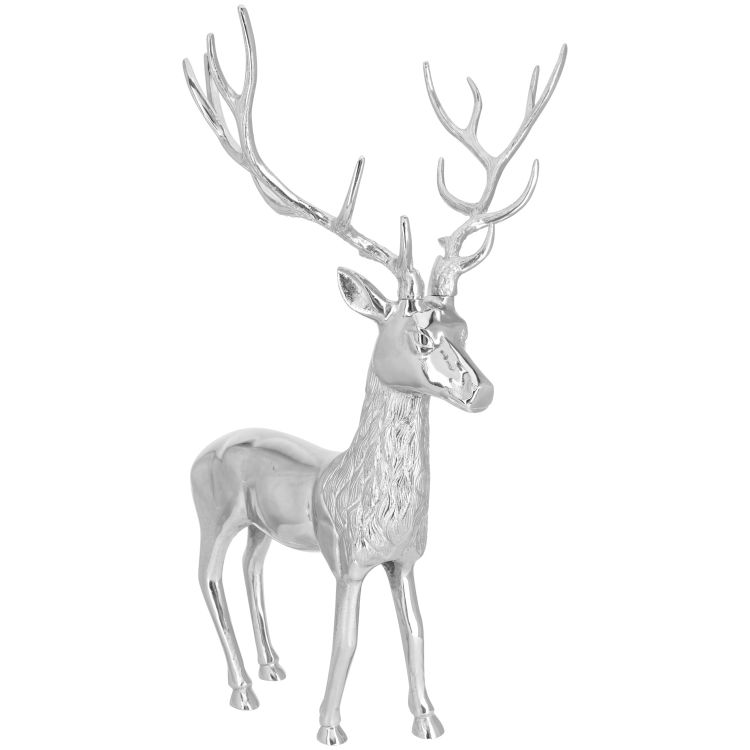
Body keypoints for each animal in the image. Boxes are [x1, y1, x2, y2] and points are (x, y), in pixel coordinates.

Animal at [183, 6, 565, 745]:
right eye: (419, 334)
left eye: (464, 327)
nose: (481, 389)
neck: (375, 501)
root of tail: (203, 449)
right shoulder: (347, 556)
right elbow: (348, 638)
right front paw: (330, 726)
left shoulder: (405, 556)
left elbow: (415, 630)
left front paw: (429, 717)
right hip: (211, 511)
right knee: (206, 576)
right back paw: (243, 689)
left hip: (261, 526)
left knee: (250, 567)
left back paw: (272, 665)